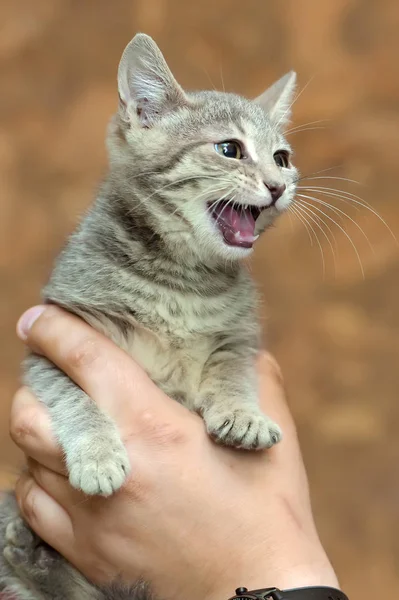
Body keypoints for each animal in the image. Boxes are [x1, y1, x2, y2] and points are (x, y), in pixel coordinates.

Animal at [0, 36, 296, 600]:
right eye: (230, 149)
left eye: (283, 157)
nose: (278, 186)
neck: (180, 280)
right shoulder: (57, 334)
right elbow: (74, 396)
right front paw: (96, 455)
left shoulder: (238, 337)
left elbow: (231, 371)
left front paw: (242, 413)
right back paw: (21, 540)